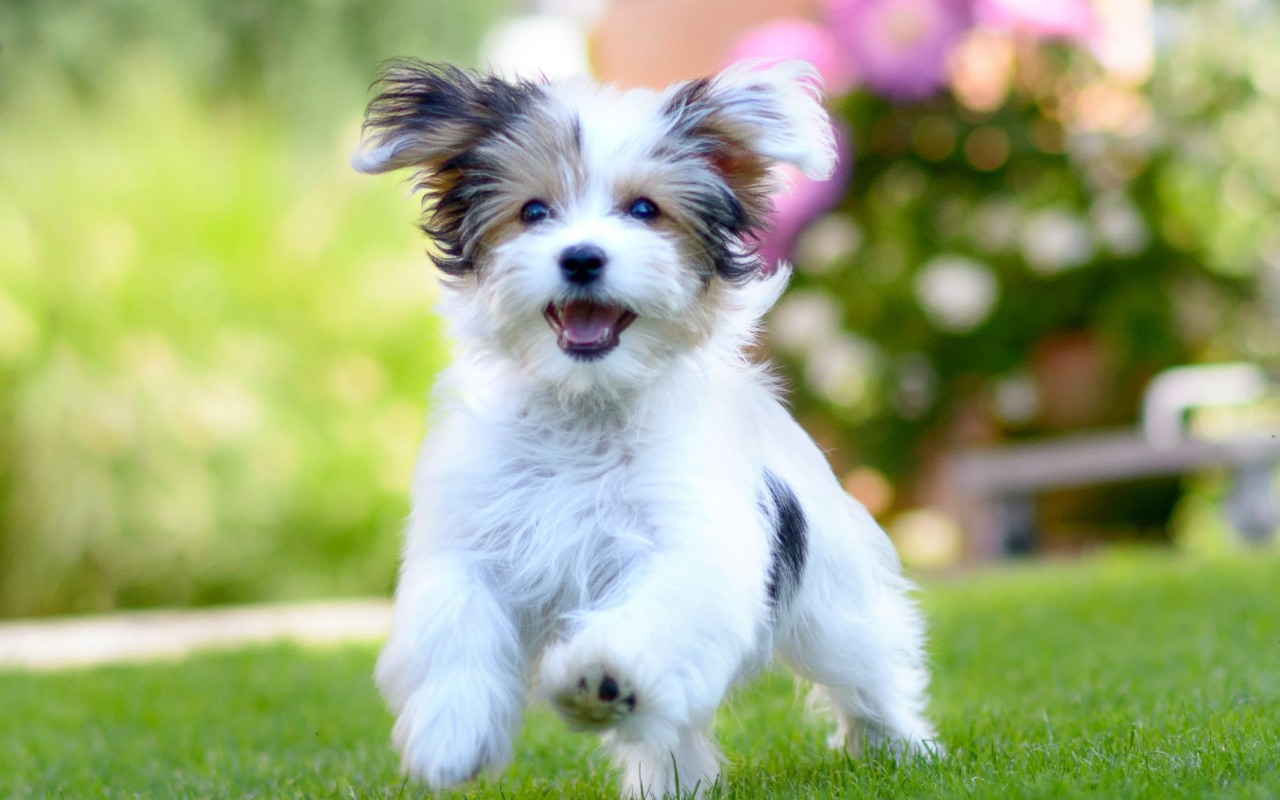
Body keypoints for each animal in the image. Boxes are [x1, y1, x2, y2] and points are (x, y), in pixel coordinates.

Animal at [355, 59, 936, 793]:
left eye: (644, 210)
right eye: (534, 211)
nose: (580, 258)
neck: (587, 404)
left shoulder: (692, 544)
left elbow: (659, 610)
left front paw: (601, 675)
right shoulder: (469, 537)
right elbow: (455, 621)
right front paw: (450, 732)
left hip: (834, 600)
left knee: (866, 667)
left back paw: (900, 746)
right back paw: (674, 781)